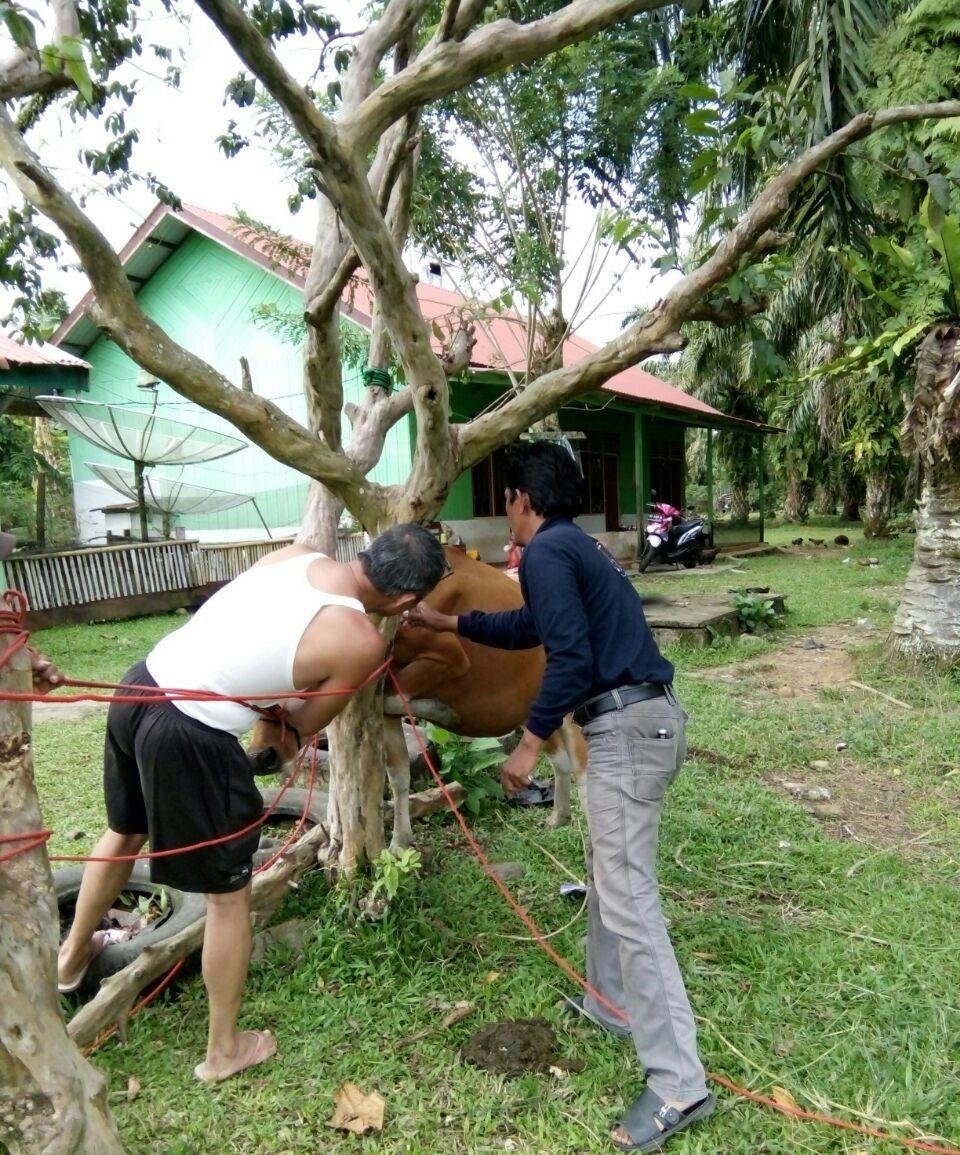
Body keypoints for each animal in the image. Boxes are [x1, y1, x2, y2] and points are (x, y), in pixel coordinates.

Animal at [249, 545, 586, 854]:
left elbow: (400, 698)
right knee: (560, 757)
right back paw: (559, 815)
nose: (259, 757)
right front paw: (400, 840)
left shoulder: (449, 656)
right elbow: (399, 776)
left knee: (581, 764)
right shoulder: (386, 712)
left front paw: (438, 709)